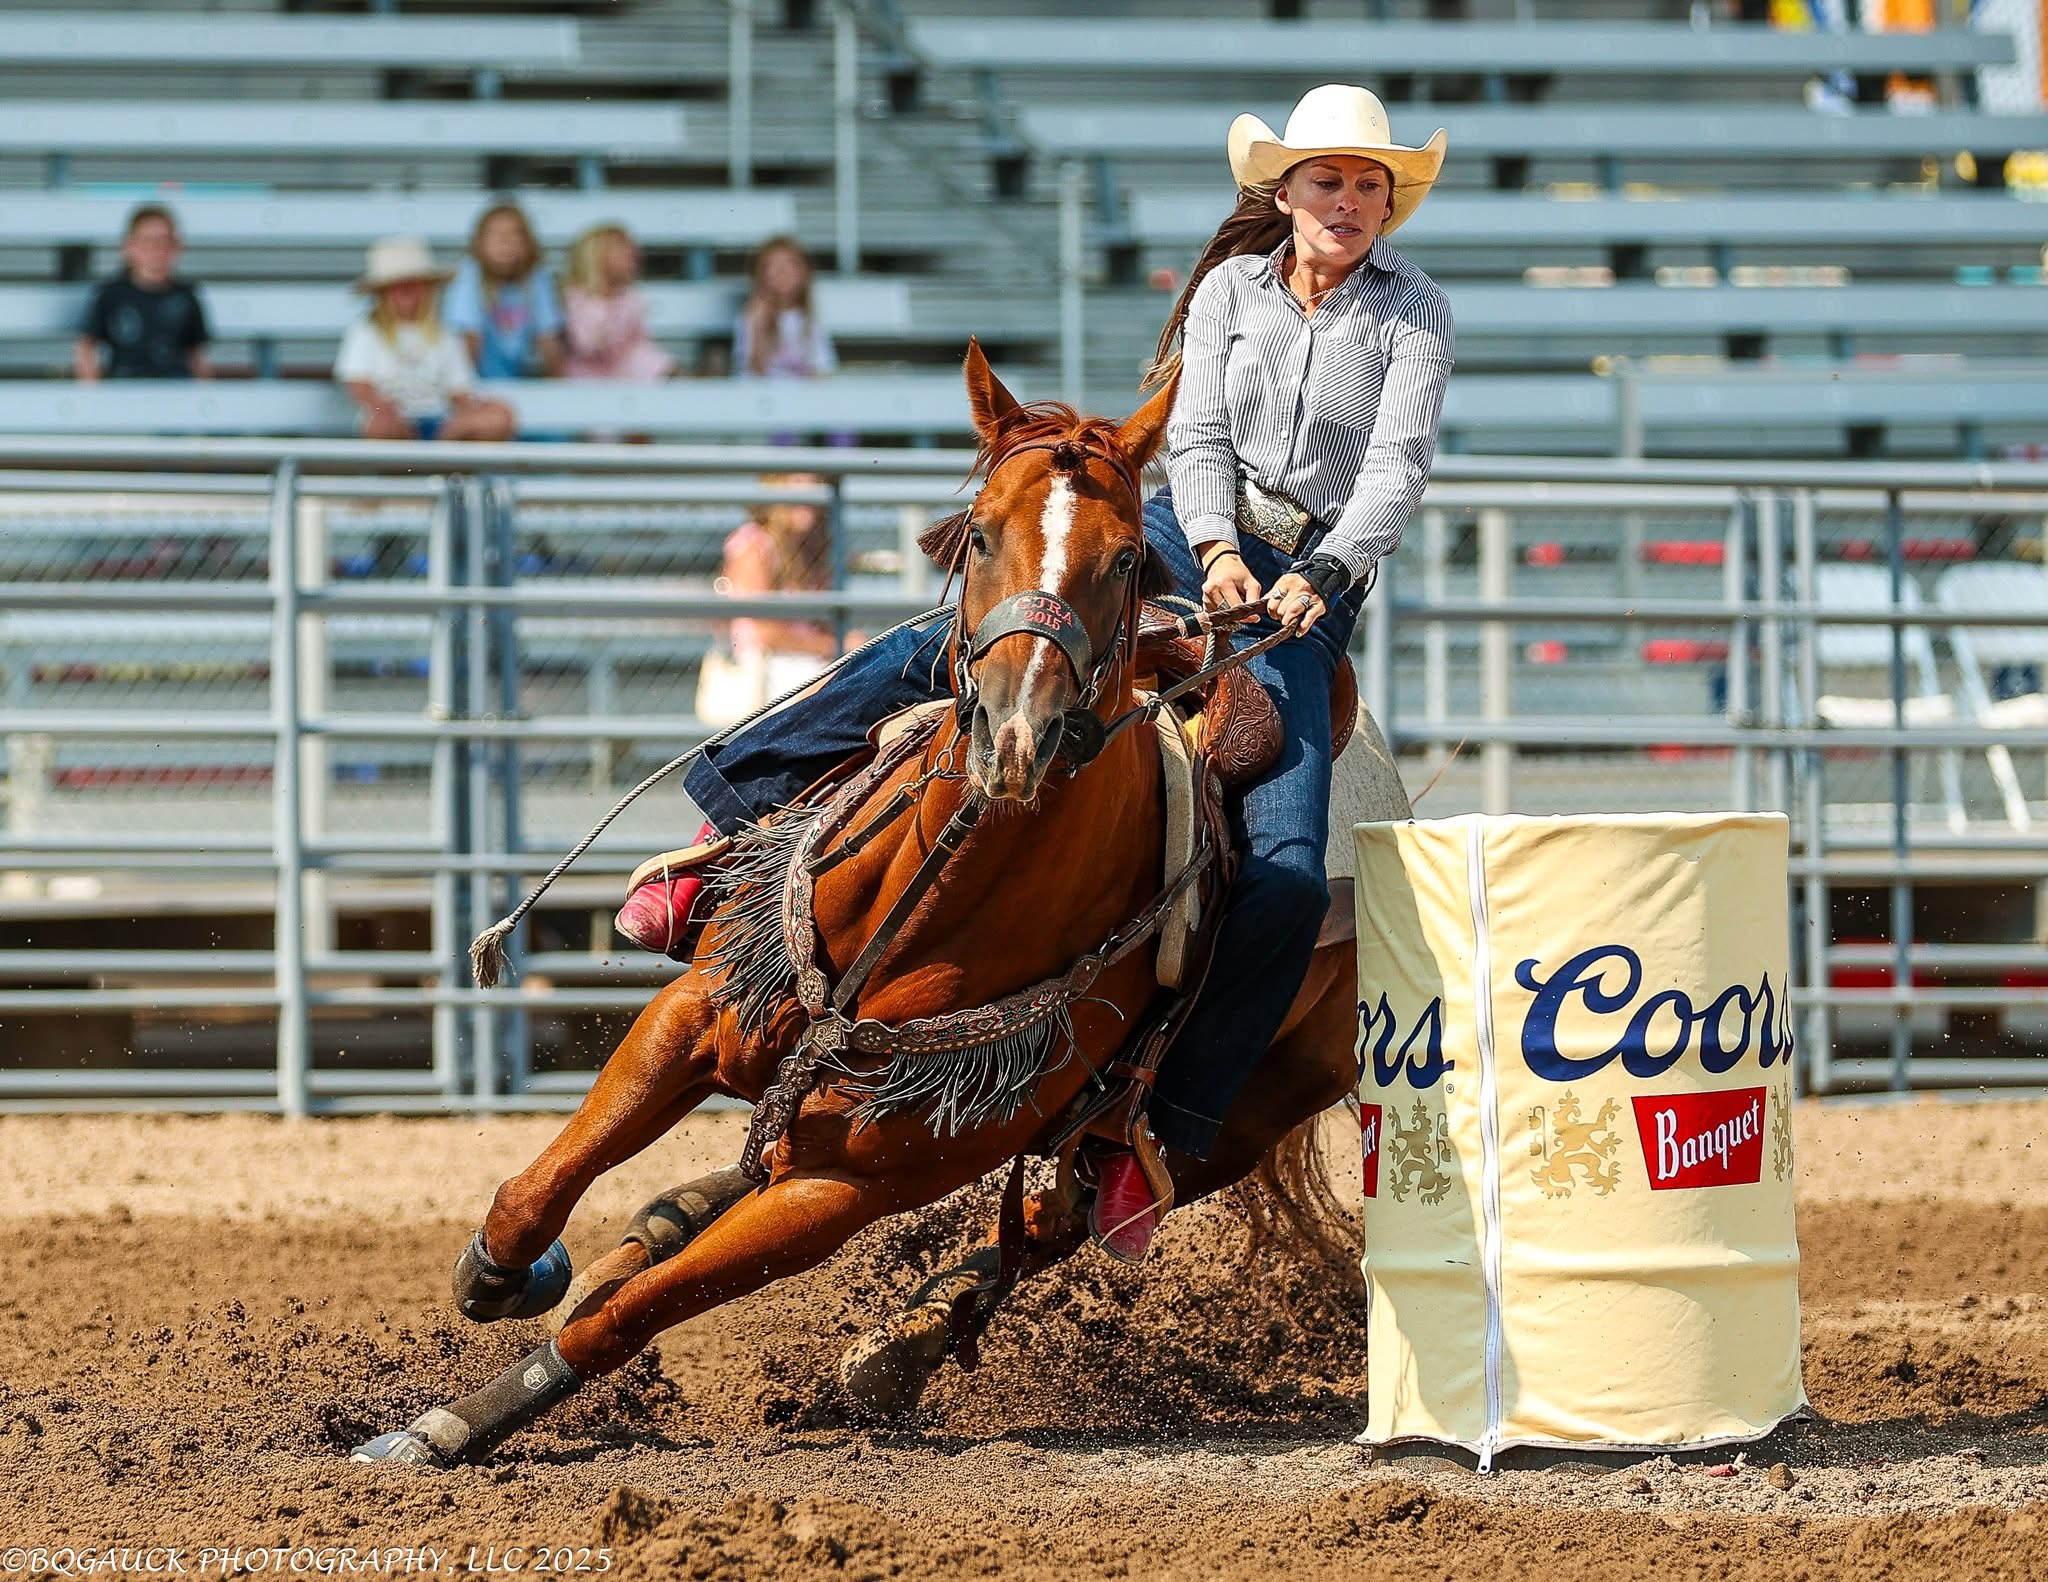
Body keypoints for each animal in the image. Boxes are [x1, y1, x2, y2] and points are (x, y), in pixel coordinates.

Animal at [350, 342, 1412, 1467]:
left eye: (1126, 559)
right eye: (980, 532)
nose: (1017, 733)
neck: (935, 899)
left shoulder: (852, 1186)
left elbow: (626, 1316)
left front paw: (449, 1425)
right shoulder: (700, 1012)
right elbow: (535, 1189)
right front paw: (502, 1273)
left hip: (1240, 1116)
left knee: (1055, 1220)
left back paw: (896, 1348)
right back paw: (677, 1216)